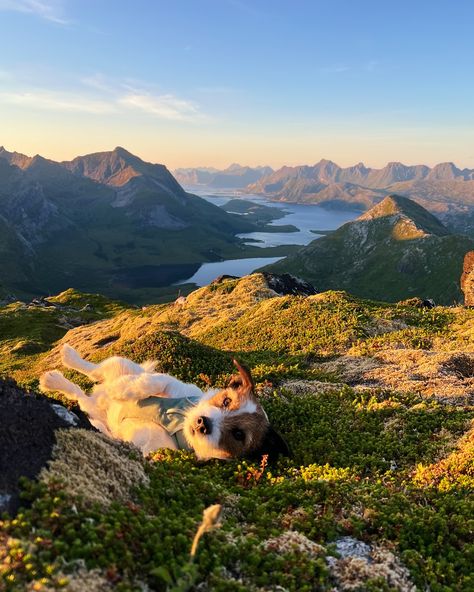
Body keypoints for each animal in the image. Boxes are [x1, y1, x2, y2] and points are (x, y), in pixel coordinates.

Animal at [39, 344, 288, 460]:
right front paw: (123, 389)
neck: (177, 424)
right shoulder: (172, 385)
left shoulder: (149, 448)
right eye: (226, 401)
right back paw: (69, 361)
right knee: (92, 371)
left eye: (238, 435)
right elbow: (154, 382)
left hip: (91, 403)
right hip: (121, 363)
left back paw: (54, 381)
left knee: (79, 395)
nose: (202, 423)